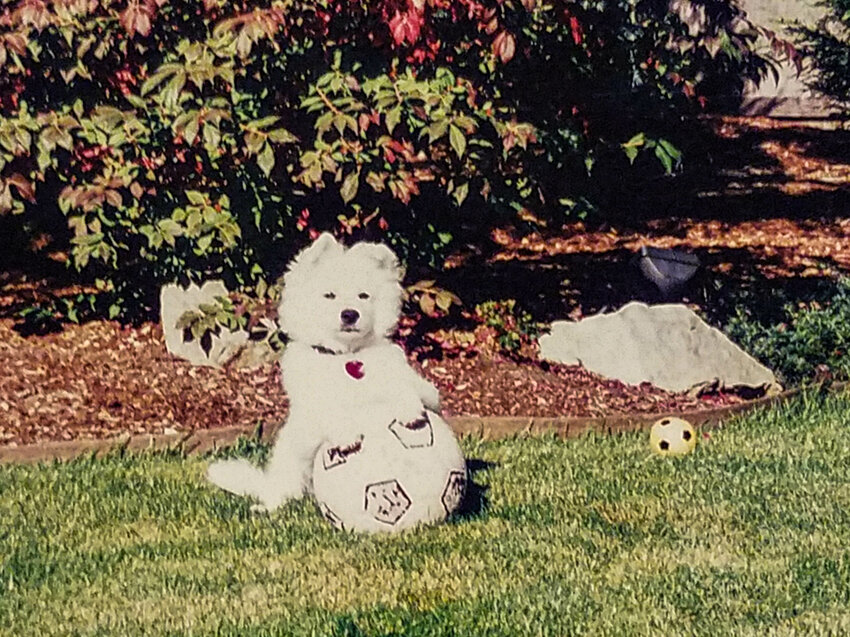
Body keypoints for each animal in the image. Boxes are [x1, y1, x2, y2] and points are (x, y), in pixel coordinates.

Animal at [205, 231, 438, 510]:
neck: (344, 356)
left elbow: (404, 386)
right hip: (290, 467)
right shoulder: (312, 404)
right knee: (282, 494)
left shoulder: (422, 389)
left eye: (363, 296)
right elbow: (330, 409)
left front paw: (409, 410)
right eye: (329, 295)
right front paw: (347, 434)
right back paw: (268, 507)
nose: (349, 314)